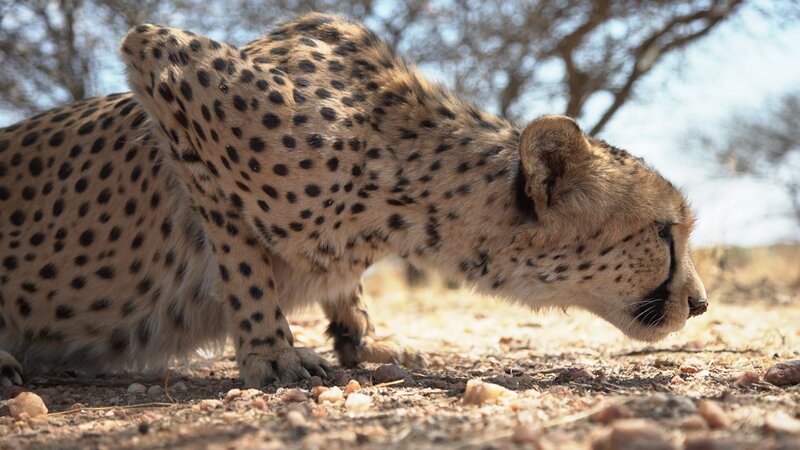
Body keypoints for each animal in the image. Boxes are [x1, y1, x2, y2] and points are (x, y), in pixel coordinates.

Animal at [0, 13, 707, 388]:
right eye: (664, 232)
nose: (700, 305)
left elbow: (344, 289)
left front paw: (364, 342)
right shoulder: (163, 61)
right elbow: (241, 259)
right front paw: (273, 355)